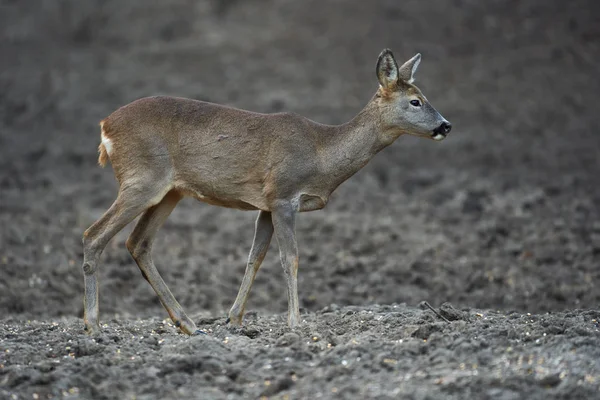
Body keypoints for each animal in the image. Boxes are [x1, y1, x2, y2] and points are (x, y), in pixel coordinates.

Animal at [83, 48, 450, 334]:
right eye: (416, 101)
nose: (445, 125)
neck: (322, 154)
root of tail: (104, 127)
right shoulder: (284, 195)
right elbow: (291, 258)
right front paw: (296, 324)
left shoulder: (266, 204)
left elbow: (254, 257)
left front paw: (234, 320)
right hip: (141, 179)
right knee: (94, 235)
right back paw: (93, 325)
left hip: (169, 191)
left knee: (138, 242)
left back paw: (187, 323)